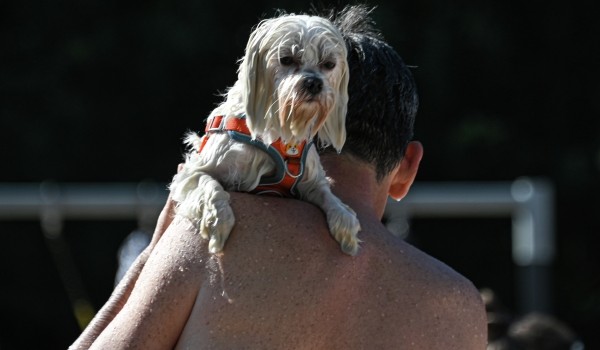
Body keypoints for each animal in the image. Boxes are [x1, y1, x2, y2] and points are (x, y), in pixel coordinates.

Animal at [169, 13, 360, 254]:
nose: (314, 83)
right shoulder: (193, 172)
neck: (281, 133)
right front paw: (218, 221)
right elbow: (210, 186)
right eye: (286, 59)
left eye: (329, 64)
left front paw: (344, 219)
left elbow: (328, 196)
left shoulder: (310, 181)